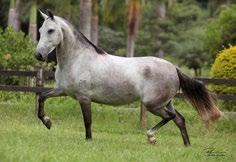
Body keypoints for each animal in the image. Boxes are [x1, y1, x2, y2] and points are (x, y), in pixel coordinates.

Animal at [35, 10, 223, 146]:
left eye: (51, 30)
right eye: (40, 31)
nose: (38, 55)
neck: (77, 59)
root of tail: (174, 68)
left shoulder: (84, 97)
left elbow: (87, 121)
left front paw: (88, 141)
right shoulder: (63, 91)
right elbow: (42, 97)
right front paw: (47, 122)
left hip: (152, 104)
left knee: (170, 117)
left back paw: (151, 137)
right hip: (166, 102)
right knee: (180, 119)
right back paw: (186, 145)